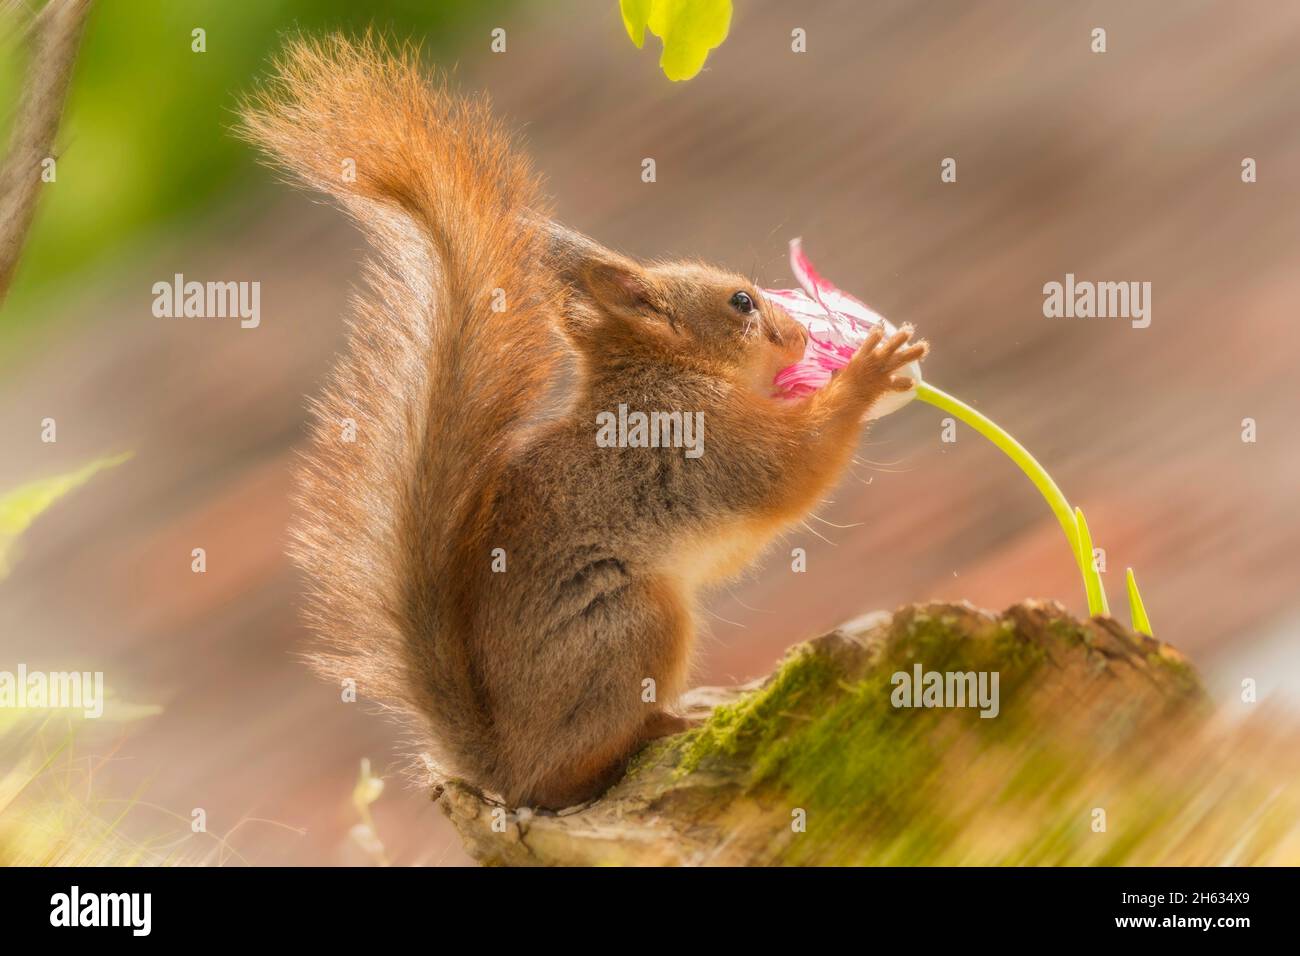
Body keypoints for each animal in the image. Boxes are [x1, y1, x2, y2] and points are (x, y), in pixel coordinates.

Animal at [239, 35, 927, 810]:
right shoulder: (701, 438)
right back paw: (665, 726)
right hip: (631, 623)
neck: (664, 370)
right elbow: (789, 470)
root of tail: (504, 766)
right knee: (579, 768)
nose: (806, 336)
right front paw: (868, 371)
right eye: (742, 302)